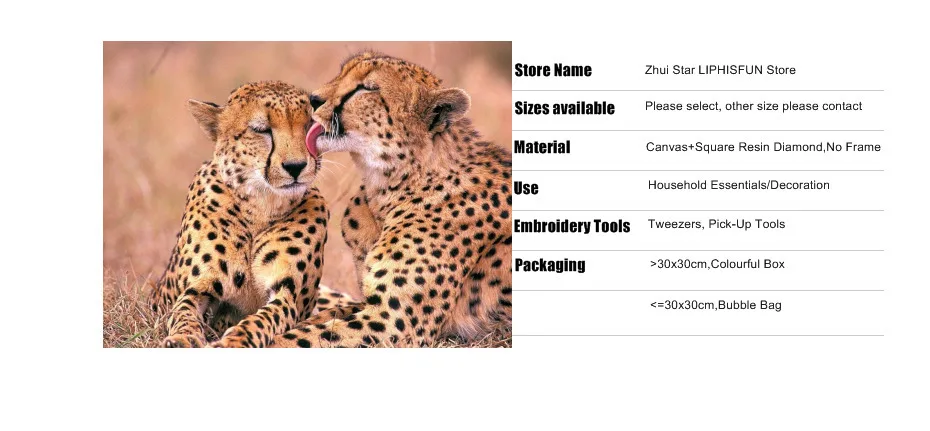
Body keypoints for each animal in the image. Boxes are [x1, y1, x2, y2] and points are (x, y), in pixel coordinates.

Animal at [148, 80, 347, 348]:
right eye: (260, 130)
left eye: (309, 126)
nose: (295, 166)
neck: (260, 206)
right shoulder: (198, 287)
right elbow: (183, 311)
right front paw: (183, 337)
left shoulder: (288, 294)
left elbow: (262, 319)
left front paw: (235, 340)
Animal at [270, 51, 512, 347]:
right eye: (343, 72)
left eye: (366, 88)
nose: (313, 99)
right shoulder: (370, 304)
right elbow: (320, 317)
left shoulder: (394, 322)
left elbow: (298, 338)